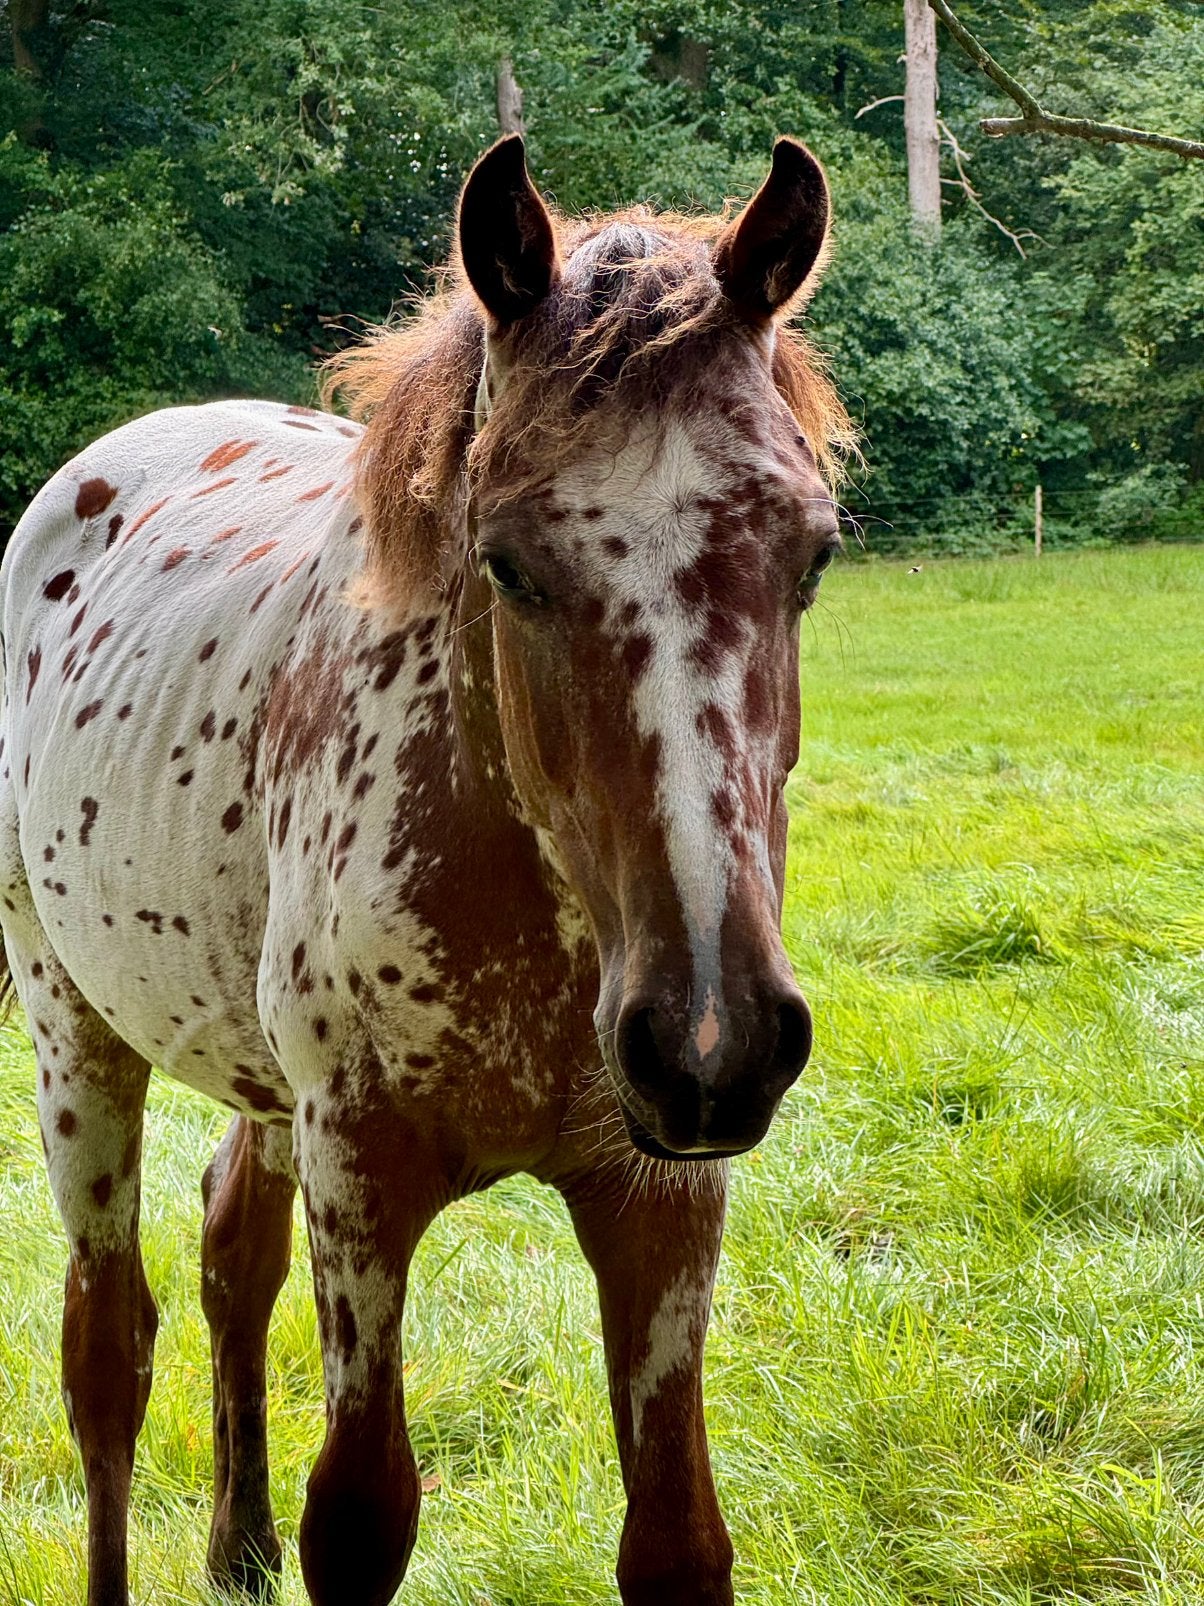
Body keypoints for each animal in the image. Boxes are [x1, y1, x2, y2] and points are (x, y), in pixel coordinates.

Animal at [0, 134, 851, 1606]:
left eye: (812, 553)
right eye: (505, 560)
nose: (712, 1037)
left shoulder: (665, 1196)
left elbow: (678, 1538)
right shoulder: (363, 1171)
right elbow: (360, 1517)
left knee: (231, 1254)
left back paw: (235, 1546)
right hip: (75, 1037)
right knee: (107, 1348)